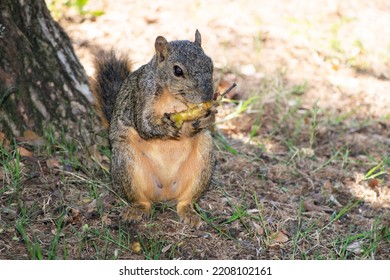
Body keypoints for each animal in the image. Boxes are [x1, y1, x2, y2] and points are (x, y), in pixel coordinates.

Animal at [93, 30, 218, 229]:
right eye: (177, 70)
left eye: (210, 63)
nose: (207, 96)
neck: (174, 98)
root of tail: (165, 193)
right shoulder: (141, 93)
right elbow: (144, 124)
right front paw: (167, 127)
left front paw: (208, 116)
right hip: (126, 161)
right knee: (141, 200)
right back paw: (136, 210)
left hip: (203, 160)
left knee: (186, 200)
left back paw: (190, 213)